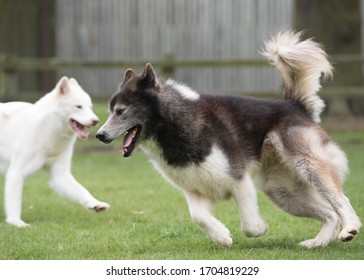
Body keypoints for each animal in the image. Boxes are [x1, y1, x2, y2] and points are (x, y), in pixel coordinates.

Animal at [0, 77, 110, 228]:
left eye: (90, 107)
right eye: (78, 106)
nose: (95, 121)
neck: (48, 131)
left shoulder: (60, 175)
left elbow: (81, 190)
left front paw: (94, 204)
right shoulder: (16, 174)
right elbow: (14, 203)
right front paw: (16, 222)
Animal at [96, 31, 362, 249]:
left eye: (120, 111)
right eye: (110, 111)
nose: (99, 135)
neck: (176, 125)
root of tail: (294, 104)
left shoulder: (239, 179)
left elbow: (250, 226)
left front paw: (259, 229)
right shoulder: (195, 189)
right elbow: (198, 217)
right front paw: (222, 236)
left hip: (307, 166)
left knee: (341, 200)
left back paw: (349, 229)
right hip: (281, 190)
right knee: (329, 213)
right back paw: (318, 243)